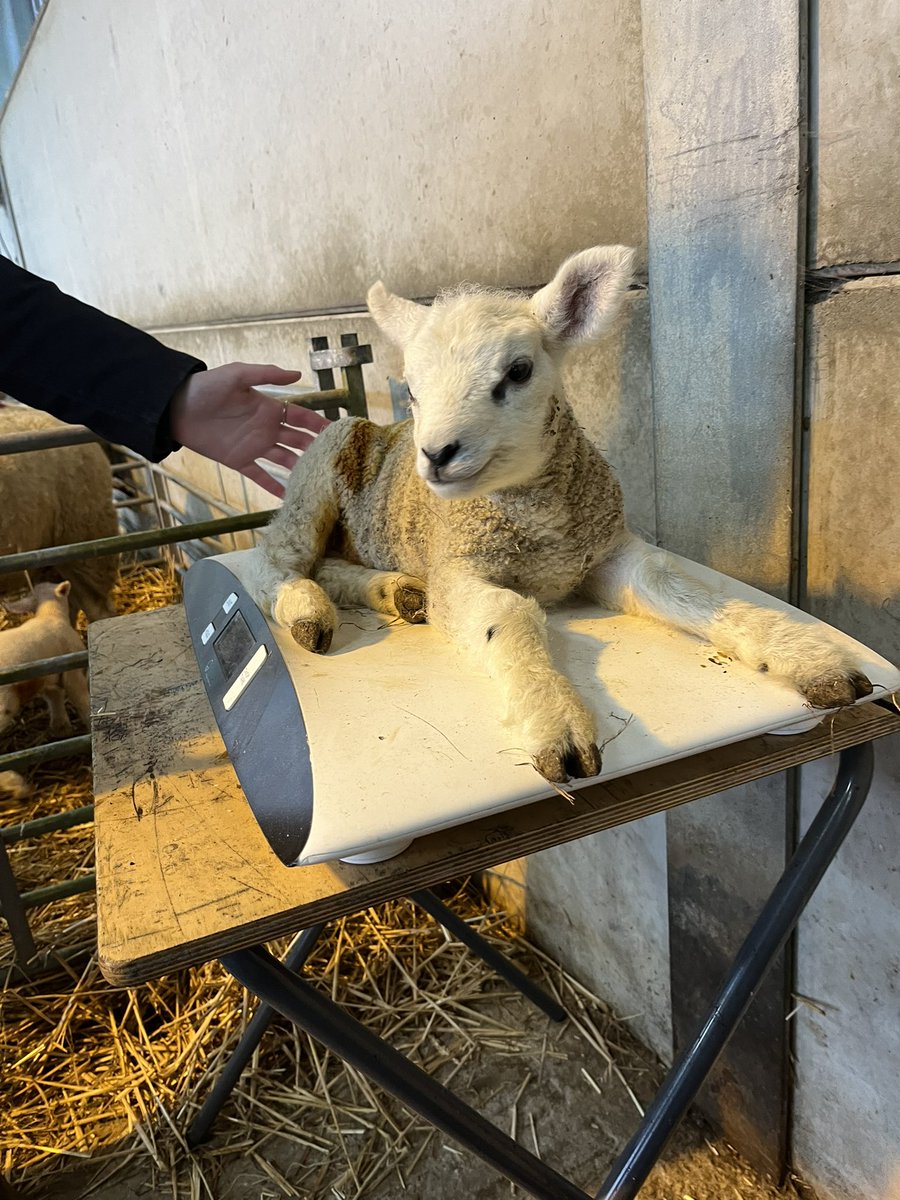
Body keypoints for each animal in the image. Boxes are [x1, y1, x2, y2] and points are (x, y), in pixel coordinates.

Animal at [0, 580, 90, 797]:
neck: (49, 615)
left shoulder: (49, 672)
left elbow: (54, 697)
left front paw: (61, 727)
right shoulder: (73, 672)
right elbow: (81, 701)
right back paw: (16, 784)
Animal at [247, 245, 871, 784]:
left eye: (519, 371)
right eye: (412, 389)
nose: (435, 455)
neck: (539, 525)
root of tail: (377, 429)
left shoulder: (606, 553)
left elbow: (680, 588)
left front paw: (810, 658)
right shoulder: (458, 568)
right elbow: (507, 614)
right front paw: (558, 729)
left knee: (326, 564)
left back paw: (395, 592)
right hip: (318, 474)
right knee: (275, 561)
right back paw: (307, 611)